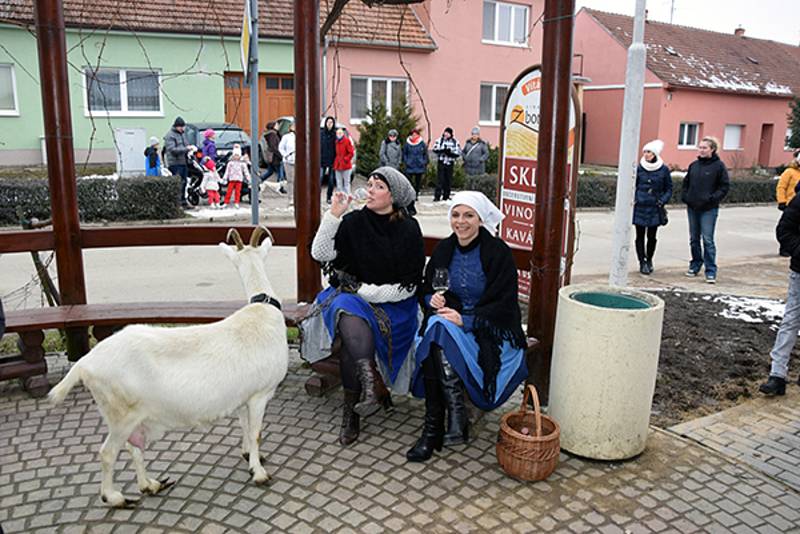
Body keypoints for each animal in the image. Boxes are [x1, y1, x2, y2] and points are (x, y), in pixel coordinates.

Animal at [48, 227, 290, 510]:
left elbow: (245, 428)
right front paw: (260, 473)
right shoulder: (260, 394)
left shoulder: (244, 398)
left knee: (133, 448)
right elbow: (256, 433)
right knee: (108, 452)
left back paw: (150, 485)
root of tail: (85, 364)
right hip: (120, 414)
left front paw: (250, 457)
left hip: (129, 415)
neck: (262, 311)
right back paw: (115, 497)